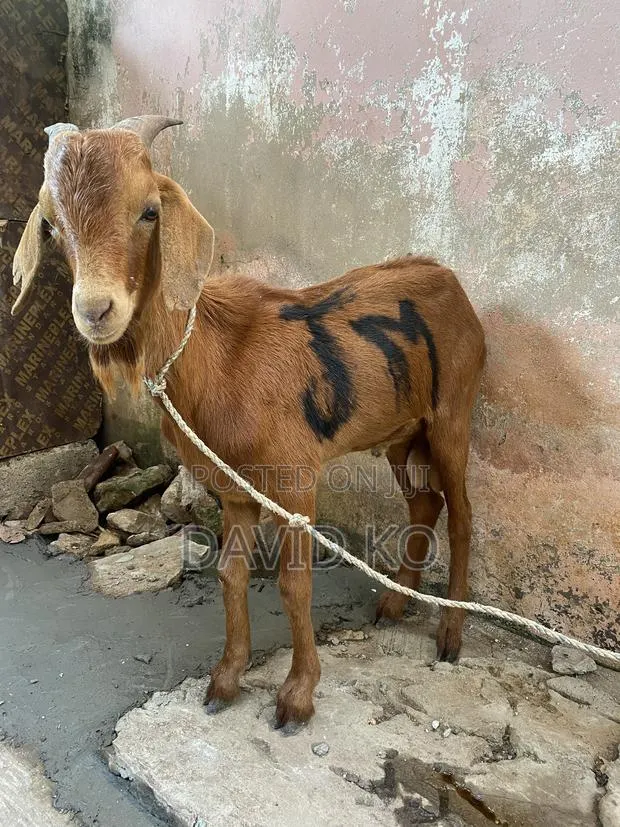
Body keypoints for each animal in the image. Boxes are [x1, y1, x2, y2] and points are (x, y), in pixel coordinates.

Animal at [12, 116, 486, 728]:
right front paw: (226, 679)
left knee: (462, 516)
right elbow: (230, 575)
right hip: (404, 433)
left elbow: (293, 585)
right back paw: (395, 602)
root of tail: (447, 276)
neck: (220, 359)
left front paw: (298, 695)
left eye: (149, 211)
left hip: (452, 413)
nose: (96, 312)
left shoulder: (296, 481)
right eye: (50, 224)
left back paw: (451, 633)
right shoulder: (233, 488)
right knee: (425, 502)